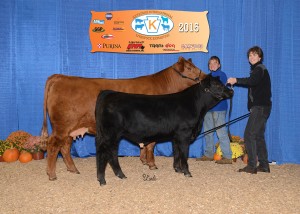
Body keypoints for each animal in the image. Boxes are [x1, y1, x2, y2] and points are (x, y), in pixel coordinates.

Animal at [41, 56, 207, 181]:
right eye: (190, 68)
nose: (206, 77)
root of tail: (60, 77)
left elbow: (146, 145)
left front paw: (144, 161)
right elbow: (151, 145)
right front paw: (152, 164)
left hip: (70, 128)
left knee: (65, 147)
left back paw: (73, 169)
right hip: (62, 126)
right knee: (53, 145)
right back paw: (52, 174)